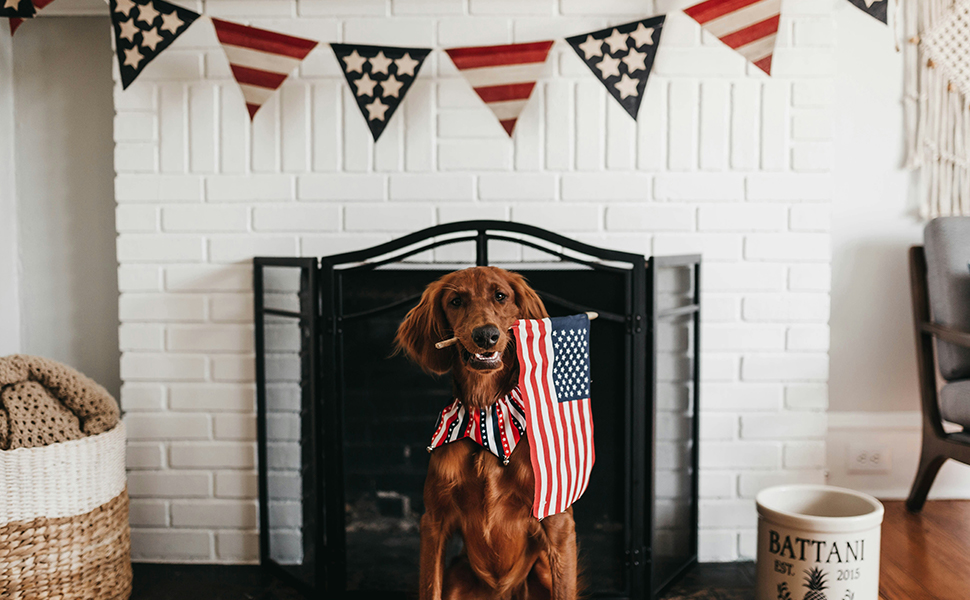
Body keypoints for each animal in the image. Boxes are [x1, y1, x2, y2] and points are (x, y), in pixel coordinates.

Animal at [394, 268, 576, 600]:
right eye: (455, 301)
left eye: (501, 296)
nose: (486, 335)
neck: (486, 415)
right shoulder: (434, 521)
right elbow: (429, 586)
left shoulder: (557, 522)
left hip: (540, 571)